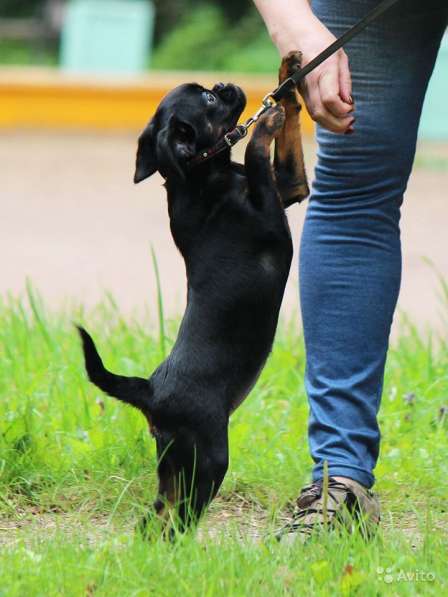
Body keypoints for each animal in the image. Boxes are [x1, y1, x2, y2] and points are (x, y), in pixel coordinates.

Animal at [79, 51, 308, 536]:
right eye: (208, 100)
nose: (223, 84)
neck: (204, 173)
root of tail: (150, 390)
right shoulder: (271, 207)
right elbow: (257, 150)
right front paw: (266, 120)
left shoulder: (292, 186)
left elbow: (288, 141)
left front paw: (288, 76)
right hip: (208, 461)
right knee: (176, 522)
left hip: (174, 465)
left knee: (155, 519)